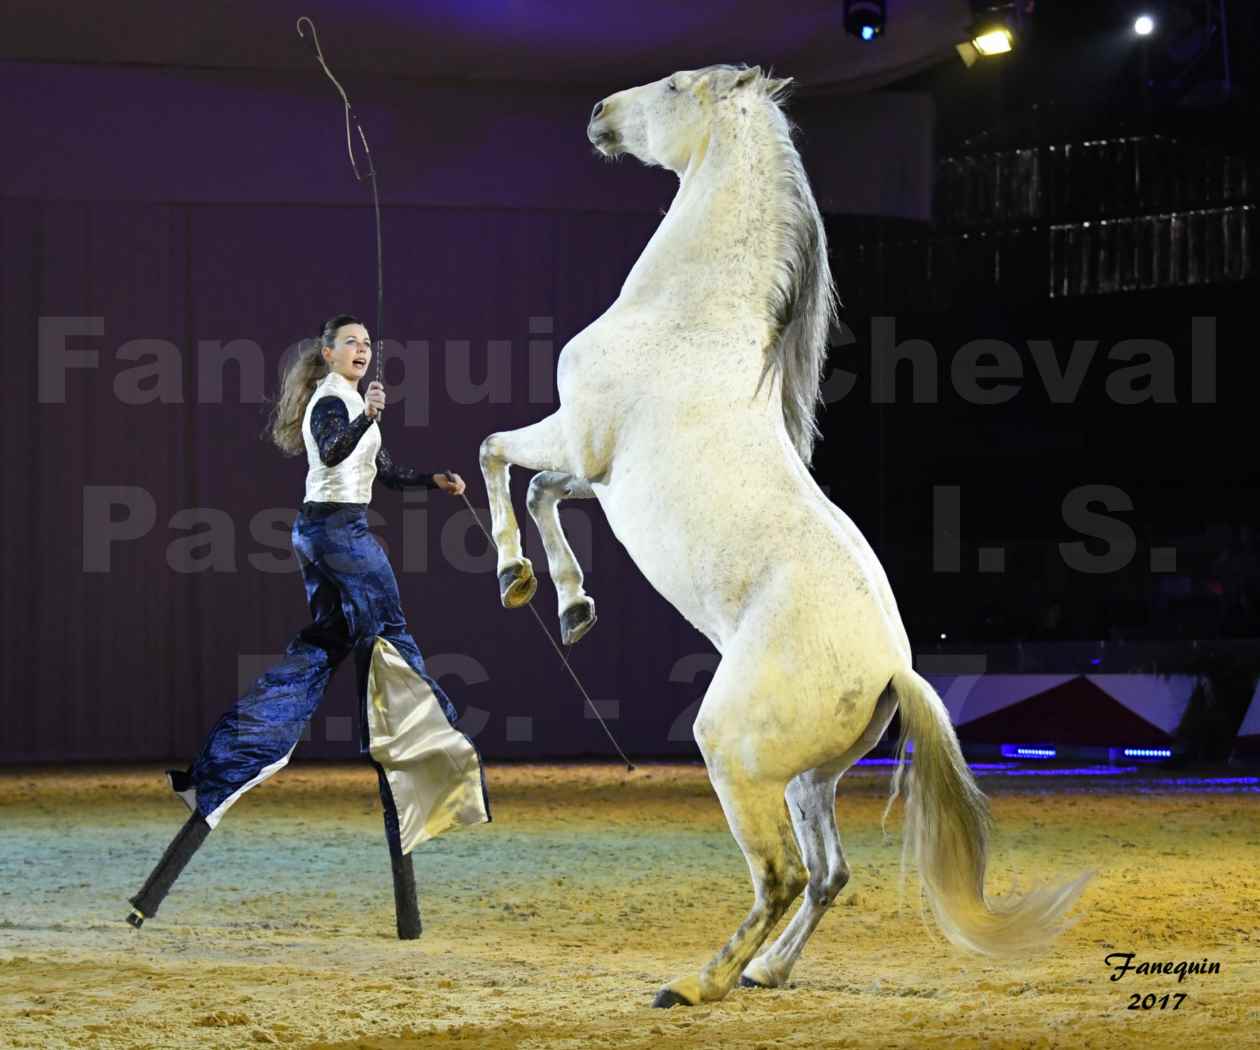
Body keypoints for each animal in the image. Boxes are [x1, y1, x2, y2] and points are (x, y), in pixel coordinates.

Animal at [476, 65, 1088, 1008]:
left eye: (675, 85)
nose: (599, 115)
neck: (688, 319)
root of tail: (896, 667)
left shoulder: (579, 437)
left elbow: (498, 456)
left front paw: (517, 579)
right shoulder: (595, 475)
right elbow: (540, 490)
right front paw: (573, 605)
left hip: (735, 756)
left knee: (784, 876)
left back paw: (699, 984)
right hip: (806, 777)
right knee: (830, 874)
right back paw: (767, 972)